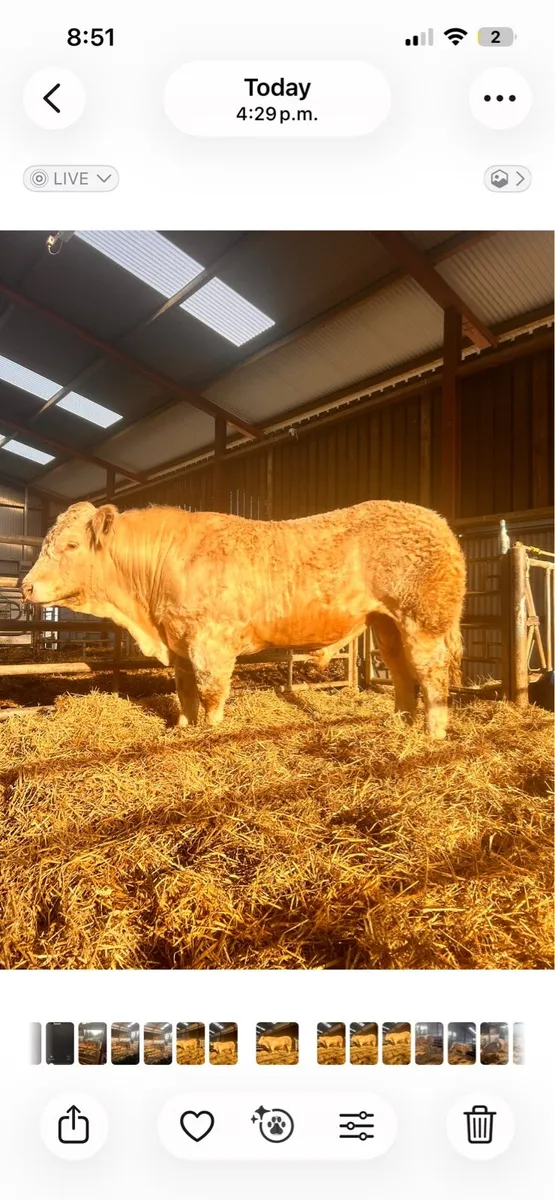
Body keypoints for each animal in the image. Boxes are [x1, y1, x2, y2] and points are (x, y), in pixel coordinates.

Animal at [21, 498, 466, 739]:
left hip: (423, 622)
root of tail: (439, 523)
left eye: (71, 544)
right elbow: (184, 691)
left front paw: (211, 731)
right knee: (402, 673)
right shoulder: (180, 643)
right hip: (387, 624)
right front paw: (182, 728)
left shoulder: (210, 643)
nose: (26, 586)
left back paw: (431, 732)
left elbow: (211, 692)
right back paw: (400, 724)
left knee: (431, 674)